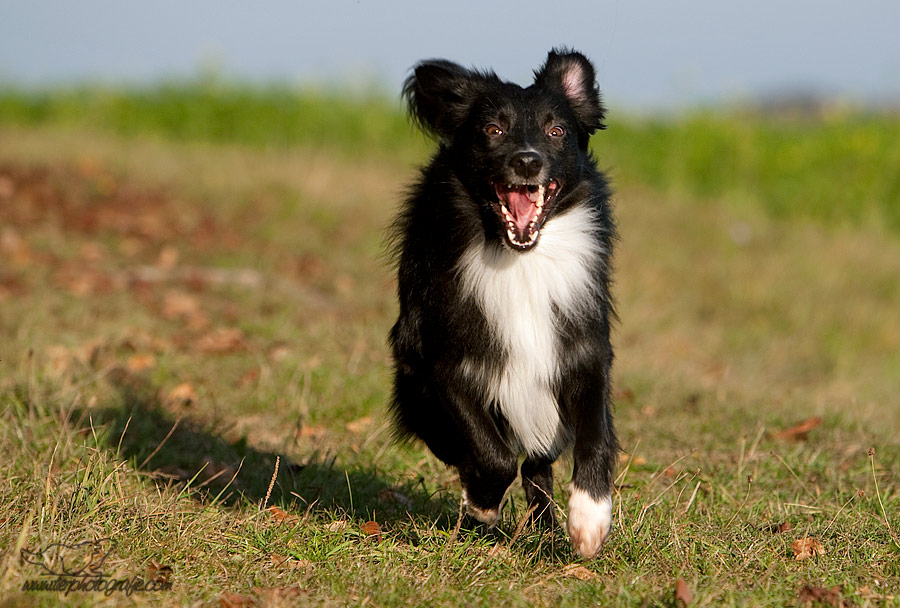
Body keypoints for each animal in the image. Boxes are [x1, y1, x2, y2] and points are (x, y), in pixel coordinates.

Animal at [386, 50, 620, 560]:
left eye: (556, 131)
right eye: (492, 129)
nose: (527, 161)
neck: (518, 257)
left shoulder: (584, 349)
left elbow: (594, 434)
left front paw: (589, 521)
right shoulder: (443, 359)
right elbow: (490, 452)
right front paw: (482, 505)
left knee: (539, 461)